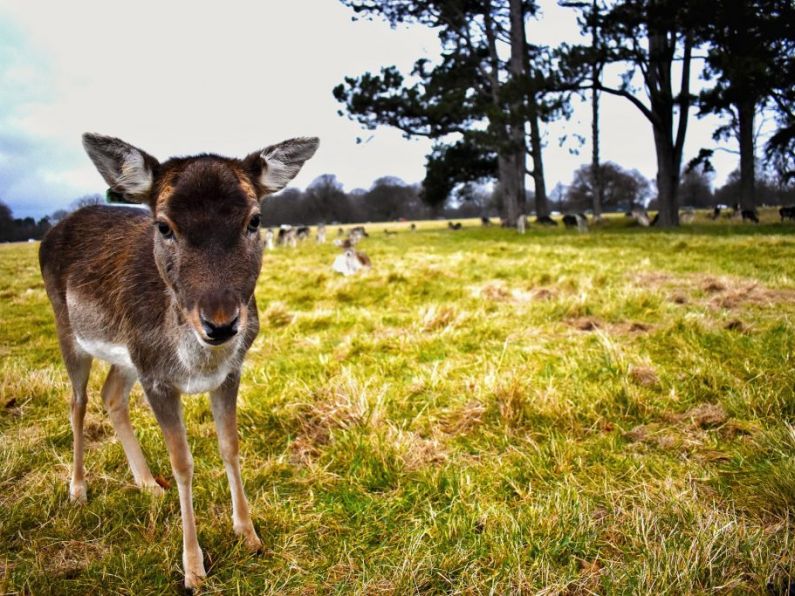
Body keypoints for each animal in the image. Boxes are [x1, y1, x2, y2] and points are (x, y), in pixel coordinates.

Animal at [39, 132, 320, 592]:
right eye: (164, 226)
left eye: (255, 220)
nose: (221, 324)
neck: (197, 363)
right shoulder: (157, 379)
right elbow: (183, 464)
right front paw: (194, 569)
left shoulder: (228, 372)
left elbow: (230, 446)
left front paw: (249, 535)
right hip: (69, 330)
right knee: (78, 402)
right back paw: (78, 490)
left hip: (128, 356)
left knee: (111, 395)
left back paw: (147, 484)